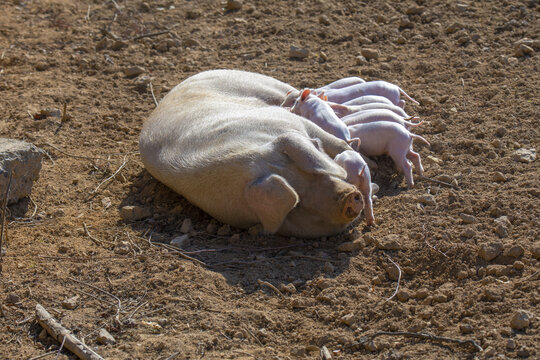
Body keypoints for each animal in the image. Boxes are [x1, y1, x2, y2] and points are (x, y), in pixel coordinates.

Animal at [139, 70, 362, 239]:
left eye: (312, 172)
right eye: (299, 205)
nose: (349, 198)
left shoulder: (285, 121)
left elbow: (334, 142)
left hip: (265, 84)